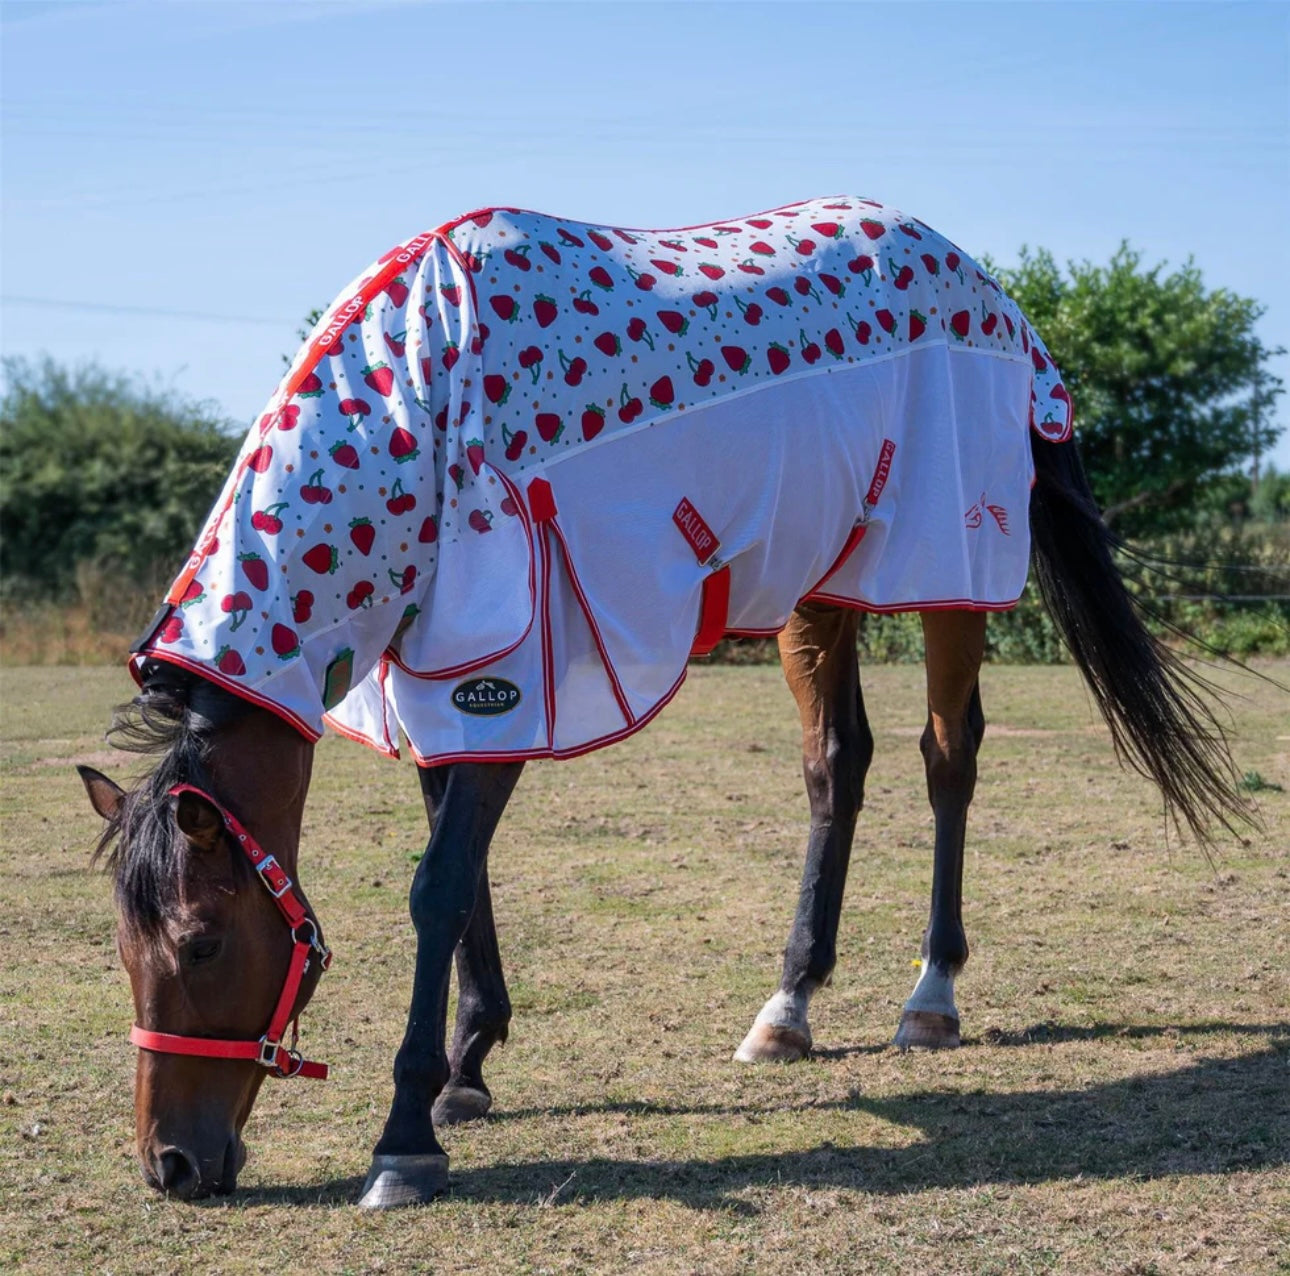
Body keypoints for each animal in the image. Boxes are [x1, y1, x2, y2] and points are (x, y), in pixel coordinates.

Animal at [75, 196, 1243, 1202]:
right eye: (124, 948)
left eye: (202, 942)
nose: (170, 1165)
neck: (422, 405)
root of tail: (998, 301)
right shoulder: (441, 682)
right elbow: (464, 877)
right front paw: (470, 1064)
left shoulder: (506, 678)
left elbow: (438, 888)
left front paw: (406, 1136)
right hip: (819, 585)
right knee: (838, 764)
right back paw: (790, 1006)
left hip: (945, 568)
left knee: (947, 753)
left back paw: (931, 996)